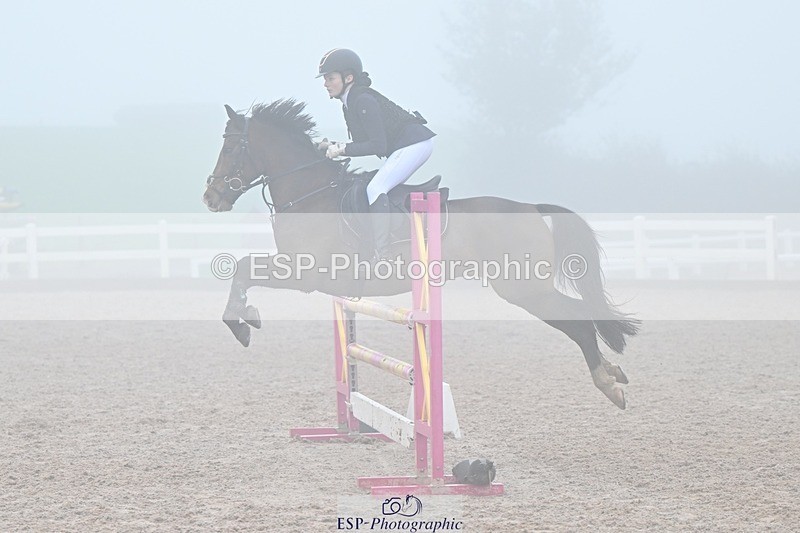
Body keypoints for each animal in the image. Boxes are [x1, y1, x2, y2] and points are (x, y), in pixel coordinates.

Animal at [202, 99, 639, 409]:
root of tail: (531, 207)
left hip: (524, 288)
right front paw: (246, 318)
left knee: (579, 321)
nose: (210, 197)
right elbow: (243, 268)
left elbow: (243, 269)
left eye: (230, 147)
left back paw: (608, 383)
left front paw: (243, 323)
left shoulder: (306, 274)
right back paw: (613, 372)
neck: (310, 194)